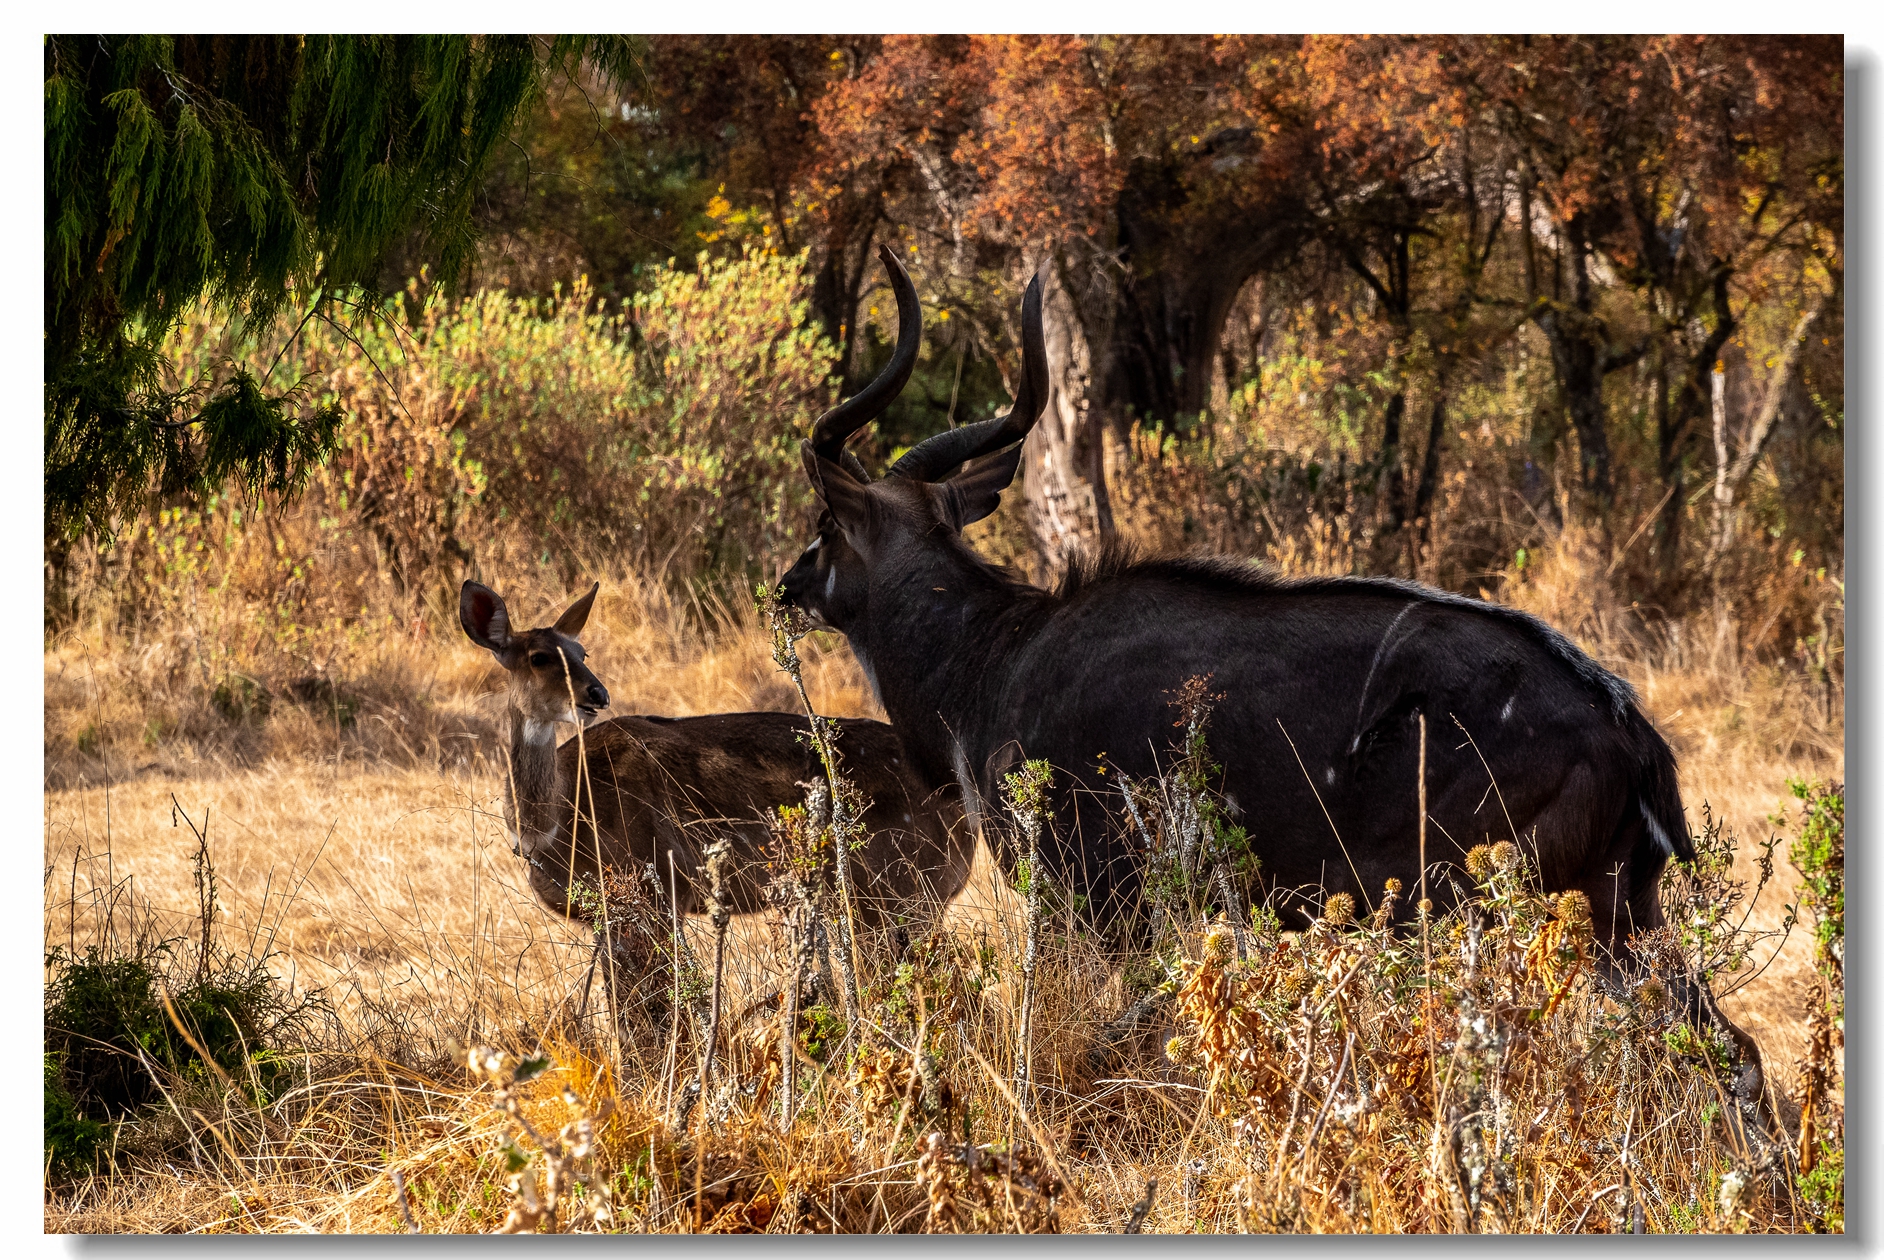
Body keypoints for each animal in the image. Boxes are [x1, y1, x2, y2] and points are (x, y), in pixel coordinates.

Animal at [455, 576, 972, 1017]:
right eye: (539, 656)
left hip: (900, 893)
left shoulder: (654, 894)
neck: (555, 825)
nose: (596, 693)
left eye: (581, 651)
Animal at [772, 242, 1770, 1122]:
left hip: (1479, 905)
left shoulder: (1088, 897)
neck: (994, 651)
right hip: (1616, 913)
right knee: (1733, 1051)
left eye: (824, 524)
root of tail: (1631, 731)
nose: (785, 587)